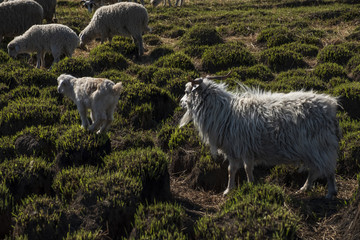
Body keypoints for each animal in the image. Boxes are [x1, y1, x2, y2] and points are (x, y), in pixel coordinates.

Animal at [180, 71, 340, 199]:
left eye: (187, 91)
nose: (180, 102)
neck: (223, 110)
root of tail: (331, 106)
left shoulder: (236, 149)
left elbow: (233, 170)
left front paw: (230, 190)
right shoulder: (244, 150)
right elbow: (244, 168)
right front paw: (249, 185)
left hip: (320, 146)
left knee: (328, 170)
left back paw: (330, 193)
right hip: (314, 149)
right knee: (315, 170)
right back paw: (305, 188)